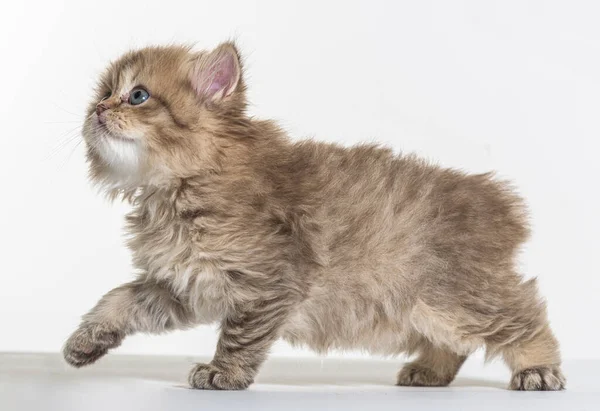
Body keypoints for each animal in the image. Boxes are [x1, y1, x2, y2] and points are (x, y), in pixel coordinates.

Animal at [63, 42, 564, 392]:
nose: (97, 109)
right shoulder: (182, 285)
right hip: (432, 308)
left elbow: (239, 337)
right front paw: (86, 340)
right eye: (104, 93)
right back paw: (429, 372)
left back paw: (539, 370)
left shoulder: (268, 282)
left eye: (137, 96)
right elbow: (118, 300)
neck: (179, 188)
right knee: (453, 344)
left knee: (526, 317)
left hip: (462, 296)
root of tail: (493, 199)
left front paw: (224, 374)